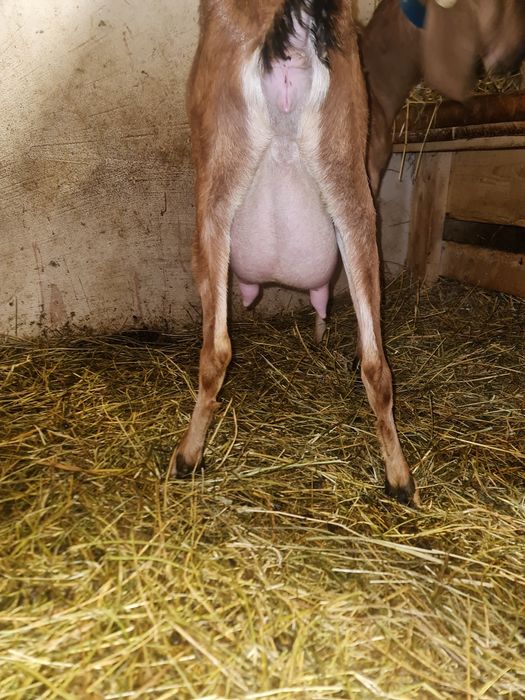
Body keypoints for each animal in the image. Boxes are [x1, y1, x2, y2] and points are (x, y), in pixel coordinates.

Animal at [170, 0, 419, 505]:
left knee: (216, 349)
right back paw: (400, 479)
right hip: (349, 179)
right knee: (376, 364)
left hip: (216, 182)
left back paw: (187, 457)